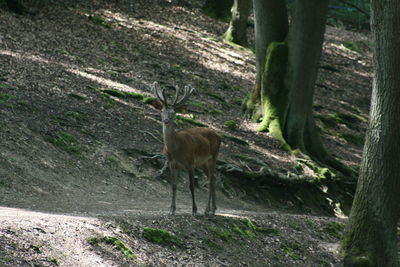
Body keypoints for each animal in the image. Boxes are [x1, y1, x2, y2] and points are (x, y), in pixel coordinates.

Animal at [152, 82, 222, 217]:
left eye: (173, 112)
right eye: (162, 111)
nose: (166, 120)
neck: (175, 150)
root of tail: (219, 136)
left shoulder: (190, 163)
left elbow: (191, 186)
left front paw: (194, 210)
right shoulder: (172, 164)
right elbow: (174, 186)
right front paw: (171, 209)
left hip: (214, 156)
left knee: (211, 179)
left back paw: (207, 209)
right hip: (203, 163)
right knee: (213, 178)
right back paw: (213, 208)